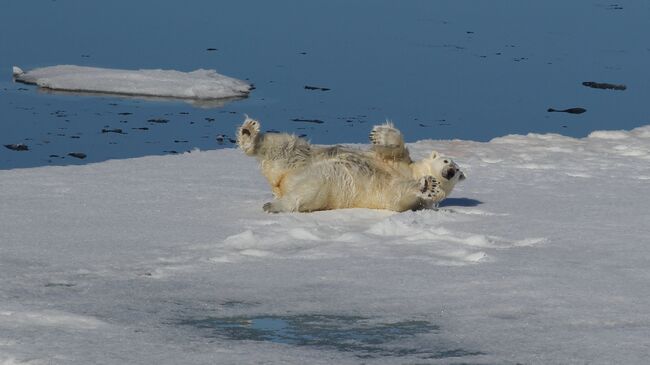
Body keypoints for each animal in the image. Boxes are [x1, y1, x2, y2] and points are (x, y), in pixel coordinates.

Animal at [235, 116, 464, 213]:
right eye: (447, 161)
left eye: (457, 171)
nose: (450, 170)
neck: (412, 173)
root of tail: (280, 183)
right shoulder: (399, 163)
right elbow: (395, 148)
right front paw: (379, 133)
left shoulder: (404, 199)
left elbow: (397, 196)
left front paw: (428, 185)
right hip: (299, 158)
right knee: (284, 145)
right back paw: (249, 133)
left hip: (329, 186)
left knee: (307, 192)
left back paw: (273, 205)